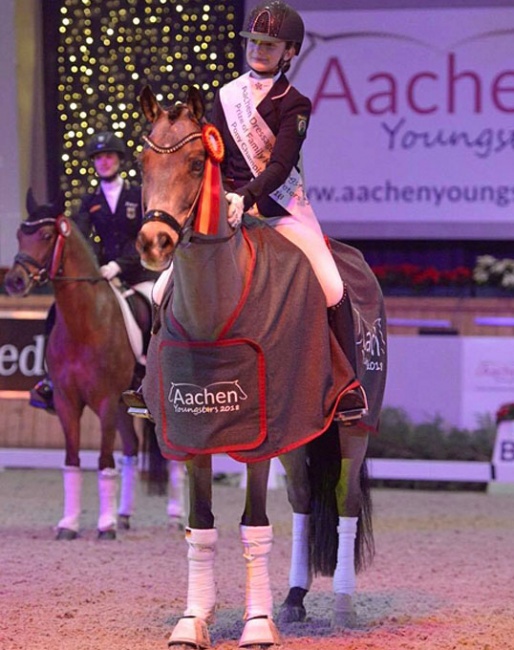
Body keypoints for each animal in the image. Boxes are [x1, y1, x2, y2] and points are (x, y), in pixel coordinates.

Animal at [3, 191, 186, 536]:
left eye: (46, 235)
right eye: (21, 234)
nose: (14, 281)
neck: (84, 322)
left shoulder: (104, 401)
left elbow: (103, 461)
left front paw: (105, 525)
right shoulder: (67, 401)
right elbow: (72, 461)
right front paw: (69, 525)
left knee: (171, 457)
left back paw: (174, 517)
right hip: (124, 404)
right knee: (130, 451)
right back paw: (124, 514)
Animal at [134, 86, 386, 648]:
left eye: (195, 162)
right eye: (141, 162)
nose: (154, 243)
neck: (215, 311)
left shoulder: (258, 436)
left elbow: (253, 527)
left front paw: (255, 626)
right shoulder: (194, 432)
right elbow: (201, 526)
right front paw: (194, 620)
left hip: (355, 424)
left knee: (344, 501)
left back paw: (341, 605)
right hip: (298, 431)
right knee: (301, 499)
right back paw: (292, 599)